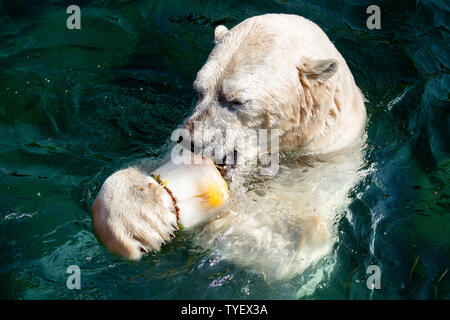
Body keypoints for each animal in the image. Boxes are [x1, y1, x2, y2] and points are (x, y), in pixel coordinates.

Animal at [90, 13, 366, 282]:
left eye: (235, 100)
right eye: (199, 90)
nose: (188, 140)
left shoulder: (320, 174)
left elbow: (292, 239)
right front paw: (141, 217)